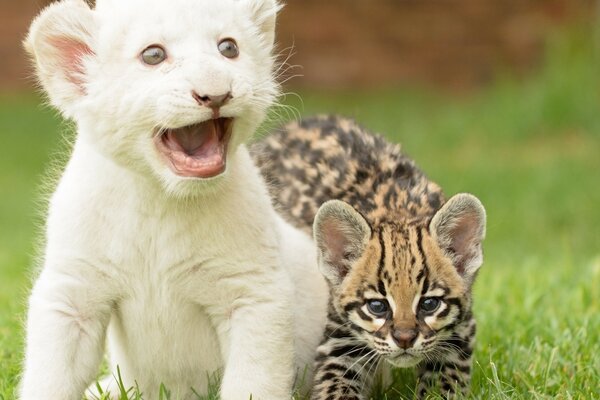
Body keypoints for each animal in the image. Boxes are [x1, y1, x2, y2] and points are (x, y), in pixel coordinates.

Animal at [251, 114, 486, 398]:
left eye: (430, 303)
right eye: (377, 306)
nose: (404, 339)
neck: (398, 212)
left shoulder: (459, 334)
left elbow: (444, 383)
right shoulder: (339, 342)